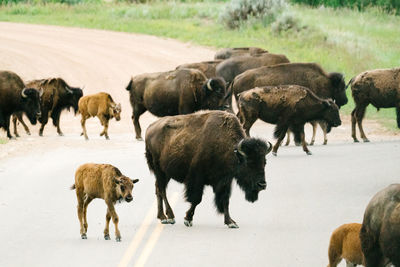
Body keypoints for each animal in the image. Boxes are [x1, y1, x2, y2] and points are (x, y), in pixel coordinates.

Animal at [144, 110, 272, 229]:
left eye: (264, 162)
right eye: (249, 163)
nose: (262, 185)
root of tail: (150, 128)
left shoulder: (225, 181)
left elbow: (225, 200)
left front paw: (230, 222)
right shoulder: (197, 178)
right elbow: (196, 199)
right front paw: (188, 219)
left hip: (166, 173)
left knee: (158, 189)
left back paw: (162, 216)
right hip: (159, 170)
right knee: (162, 190)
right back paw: (170, 217)